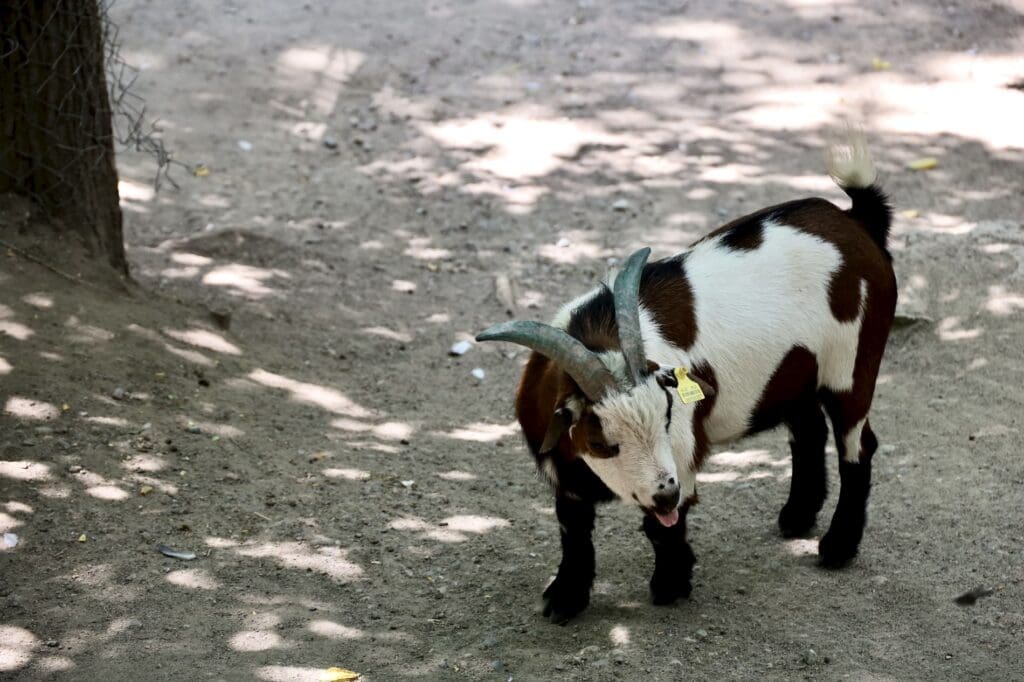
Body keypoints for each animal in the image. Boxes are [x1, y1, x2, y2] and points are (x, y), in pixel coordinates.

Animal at [476, 133, 896, 623]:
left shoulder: (680, 455)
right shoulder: (566, 472)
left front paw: (671, 584)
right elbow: (573, 530)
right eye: (601, 443)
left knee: (857, 446)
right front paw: (565, 598)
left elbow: (663, 528)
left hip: (852, 365)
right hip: (794, 375)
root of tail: (855, 221)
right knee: (808, 431)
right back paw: (796, 518)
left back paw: (837, 547)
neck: (600, 331)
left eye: (666, 418)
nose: (664, 495)